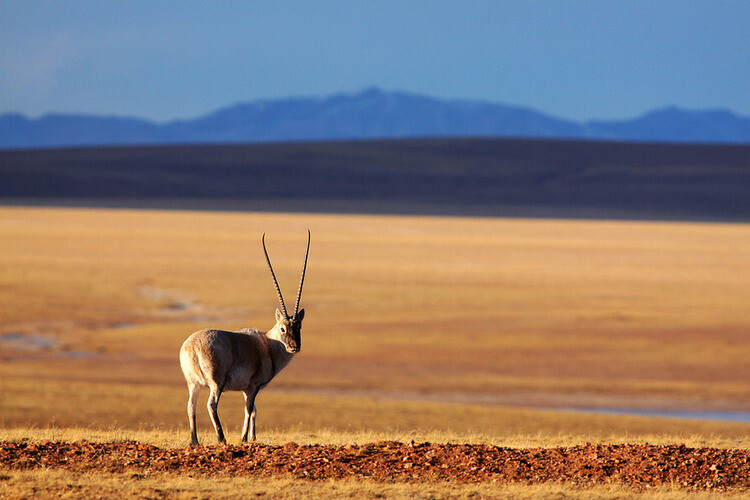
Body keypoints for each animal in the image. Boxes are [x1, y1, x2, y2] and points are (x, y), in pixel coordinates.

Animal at [178, 231, 310, 446]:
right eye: (283, 328)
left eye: (298, 326)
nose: (293, 347)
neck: (267, 345)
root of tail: (192, 346)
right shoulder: (252, 387)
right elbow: (249, 409)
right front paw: (244, 438)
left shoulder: (245, 389)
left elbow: (253, 410)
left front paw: (252, 437)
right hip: (216, 383)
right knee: (211, 404)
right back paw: (221, 439)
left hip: (193, 384)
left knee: (191, 406)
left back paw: (194, 441)